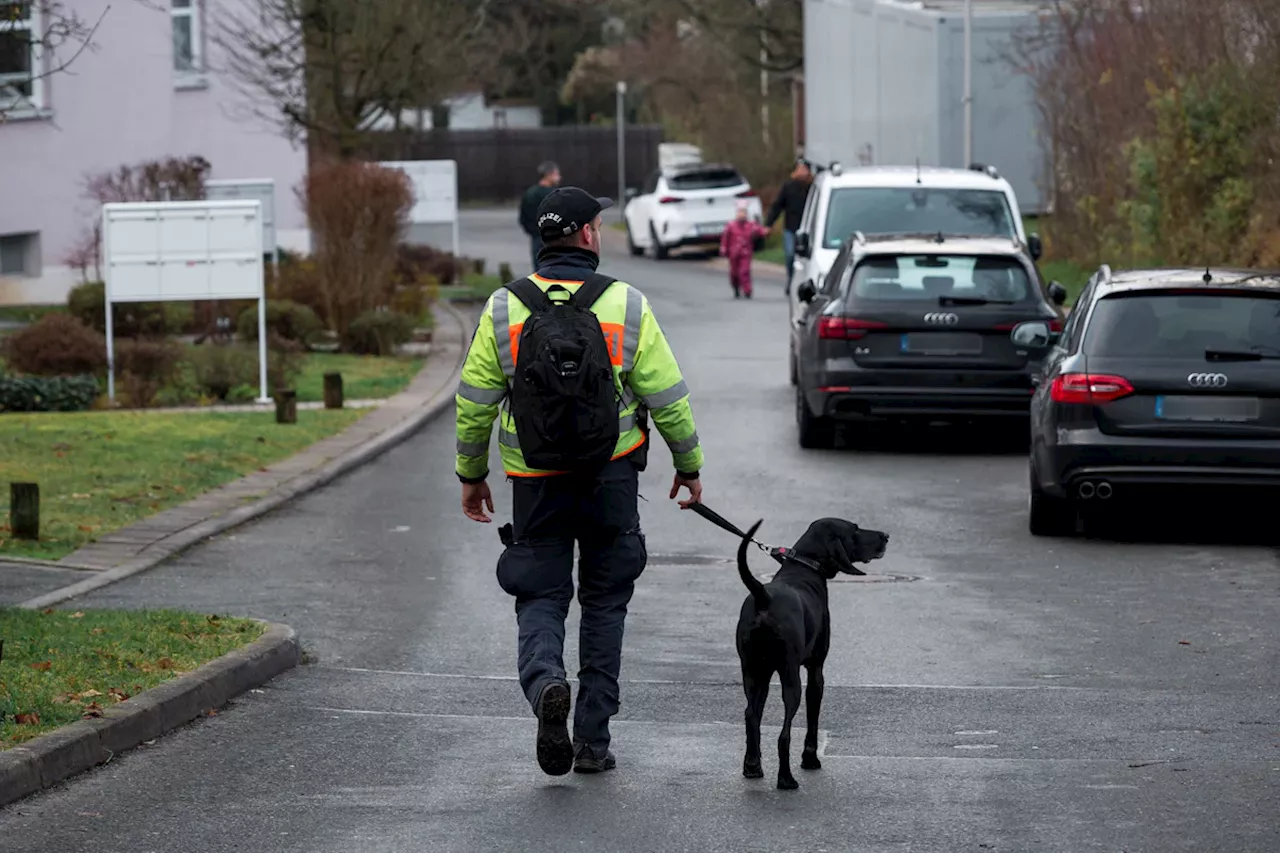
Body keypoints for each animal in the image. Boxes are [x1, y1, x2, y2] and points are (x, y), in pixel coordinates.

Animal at [732, 514, 890, 788]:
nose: (885, 536)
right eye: (855, 529)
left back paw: (752, 766)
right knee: (784, 734)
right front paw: (810, 759)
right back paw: (786, 779)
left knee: (751, 716)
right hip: (789, 675)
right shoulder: (816, 669)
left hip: (753, 671)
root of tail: (763, 596)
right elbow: (813, 717)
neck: (805, 566)